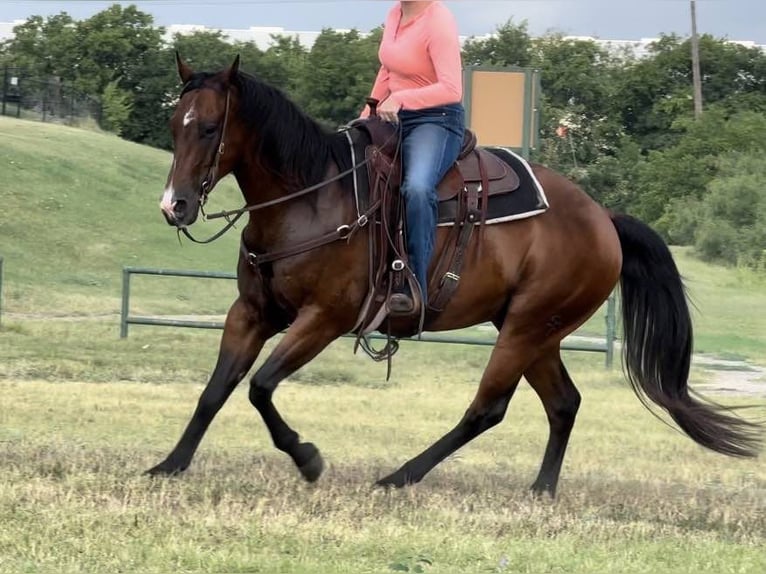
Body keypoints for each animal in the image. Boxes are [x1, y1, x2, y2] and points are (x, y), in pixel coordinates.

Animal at [150, 55, 760, 496]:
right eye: (173, 125)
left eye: (209, 127)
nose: (174, 206)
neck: (312, 198)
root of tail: (604, 219)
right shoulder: (251, 313)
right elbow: (216, 390)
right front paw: (169, 465)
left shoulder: (323, 319)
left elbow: (260, 387)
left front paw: (308, 460)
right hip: (538, 333)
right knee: (564, 404)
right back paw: (540, 489)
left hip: (526, 330)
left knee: (487, 409)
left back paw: (400, 476)